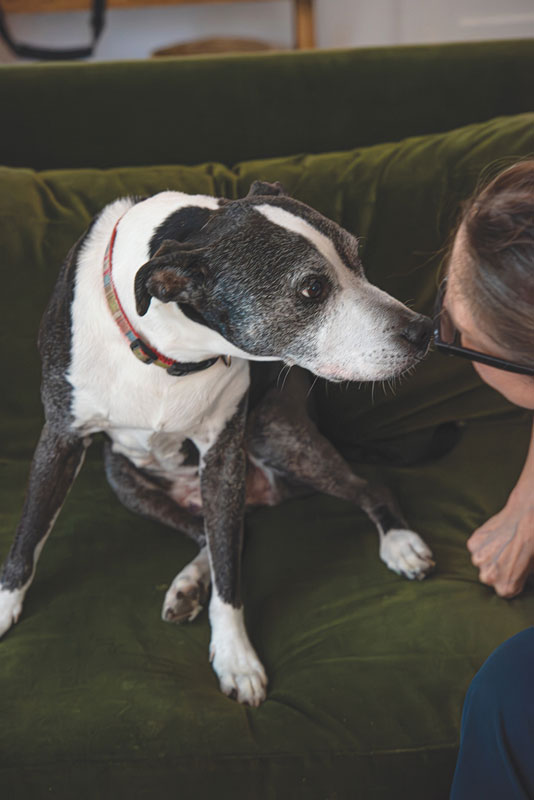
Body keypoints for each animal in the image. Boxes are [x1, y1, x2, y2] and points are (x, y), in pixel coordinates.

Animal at [0, 181, 434, 706]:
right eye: (313, 288)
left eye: (357, 257)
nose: (425, 330)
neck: (173, 350)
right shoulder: (61, 437)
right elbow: (29, 533)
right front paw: (5, 605)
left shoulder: (223, 453)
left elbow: (230, 575)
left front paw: (235, 656)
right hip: (121, 476)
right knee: (206, 534)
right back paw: (188, 583)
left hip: (273, 435)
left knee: (365, 490)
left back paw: (401, 543)